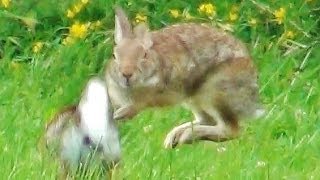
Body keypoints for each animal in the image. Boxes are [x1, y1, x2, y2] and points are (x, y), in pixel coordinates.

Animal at [105, 7, 264, 148]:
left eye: (143, 55)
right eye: (114, 55)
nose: (126, 74)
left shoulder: (163, 90)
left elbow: (143, 102)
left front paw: (121, 114)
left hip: (215, 93)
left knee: (230, 129)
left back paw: (185, 136)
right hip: (196, 99)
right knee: (208, 120)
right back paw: (175, 137)